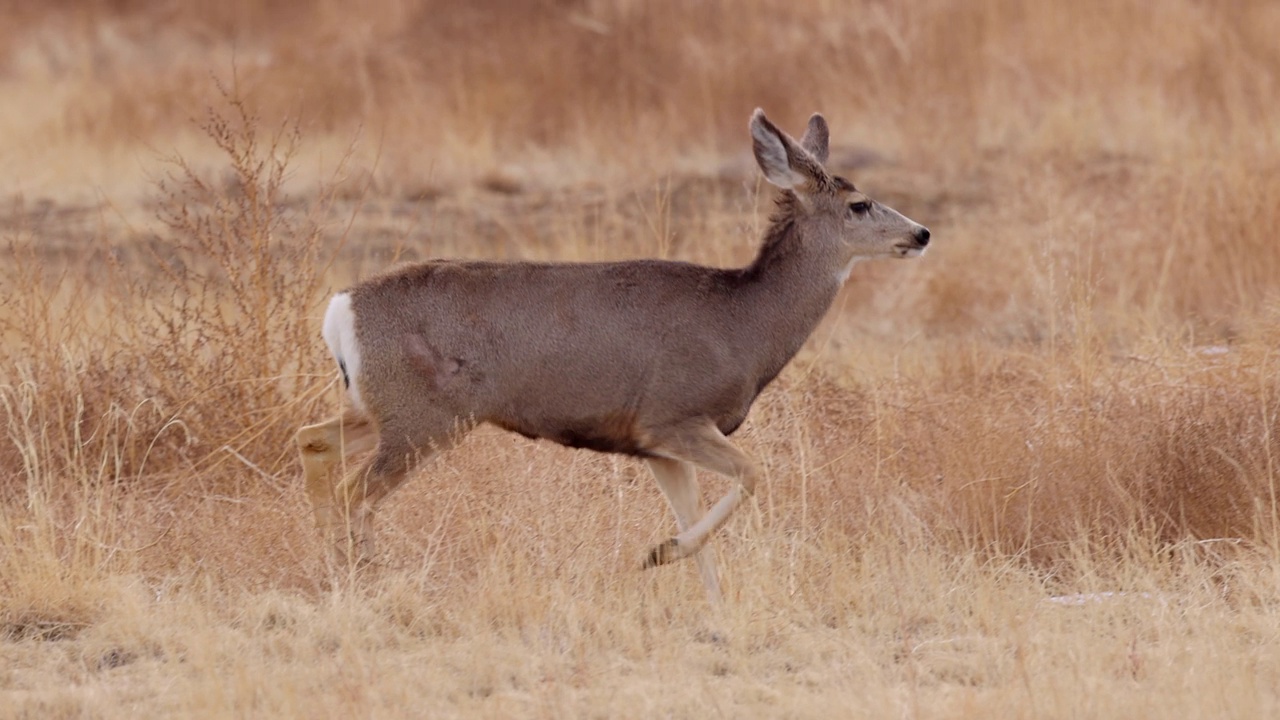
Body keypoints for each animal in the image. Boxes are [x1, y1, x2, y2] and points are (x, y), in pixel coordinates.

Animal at [295, 107, 936, 599]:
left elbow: (695, 518)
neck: (744, 325)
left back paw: (334, 568)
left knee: (312, 440)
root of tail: (341, 308)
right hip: (421, 416)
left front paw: (709, 603)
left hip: (380, 406)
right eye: (860, 205)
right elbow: (752, 474)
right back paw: (366, 576)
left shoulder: (655, 446)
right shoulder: (671, 416)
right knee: (354, 491)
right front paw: (657, 554)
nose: (922, 233)